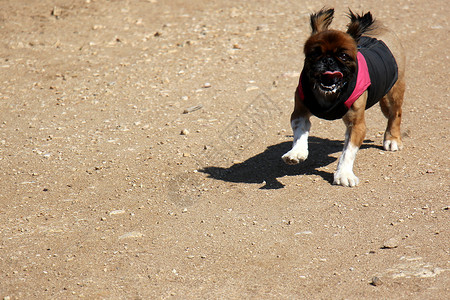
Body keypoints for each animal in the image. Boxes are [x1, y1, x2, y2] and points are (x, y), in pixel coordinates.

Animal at [282, 8, 404, 186]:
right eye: (314, 54)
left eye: (344, 56)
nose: (328, 60)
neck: (328, 94)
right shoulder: (300, 113)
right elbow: (300, 133)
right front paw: (297, 152)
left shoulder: (357, 125)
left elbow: (348, 152)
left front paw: (344, 174)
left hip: (393, 94)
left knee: (395, 114)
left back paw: (392, 139)